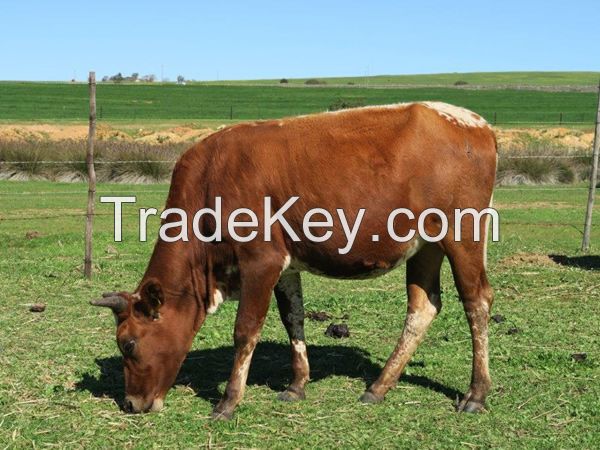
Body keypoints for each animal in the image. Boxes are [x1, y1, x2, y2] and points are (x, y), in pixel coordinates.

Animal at [91, 102, 496, 418]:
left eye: (128, 344)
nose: (130, 403)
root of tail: (474, 122)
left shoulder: (260, 260)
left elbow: (246, 329)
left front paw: (228, 402)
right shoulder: (286, 263)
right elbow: (293, 318)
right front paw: (297, 384)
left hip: (463, 234)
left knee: (476, 301)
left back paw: (476, 394)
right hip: (425, 245)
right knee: (423, 307)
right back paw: (378, 387)